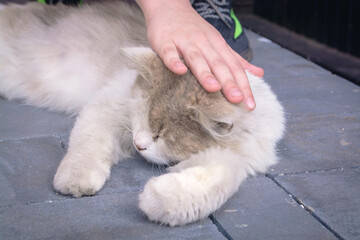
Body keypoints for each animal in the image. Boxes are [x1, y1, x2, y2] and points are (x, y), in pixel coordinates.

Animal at [0, 0, 284, 226]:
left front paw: (161, 200)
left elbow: (217, 181)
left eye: (160, 135)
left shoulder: (236, 159)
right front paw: (76, 180)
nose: (138, 144)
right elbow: (88, 145)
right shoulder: (108, 108)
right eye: (140, 116)